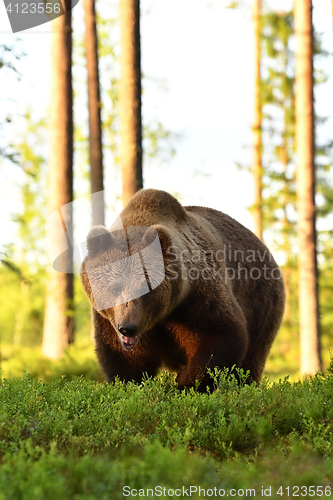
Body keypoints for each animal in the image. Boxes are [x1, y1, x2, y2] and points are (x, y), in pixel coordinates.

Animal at [80, 188, 282, 390]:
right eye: (115, 289)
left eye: (146, 287)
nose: (127, 328)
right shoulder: (108, 319)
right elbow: (123, 358)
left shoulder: (196, 299)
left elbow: (221, 335)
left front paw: (186, 382)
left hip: (261, 304)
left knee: (252, 359)